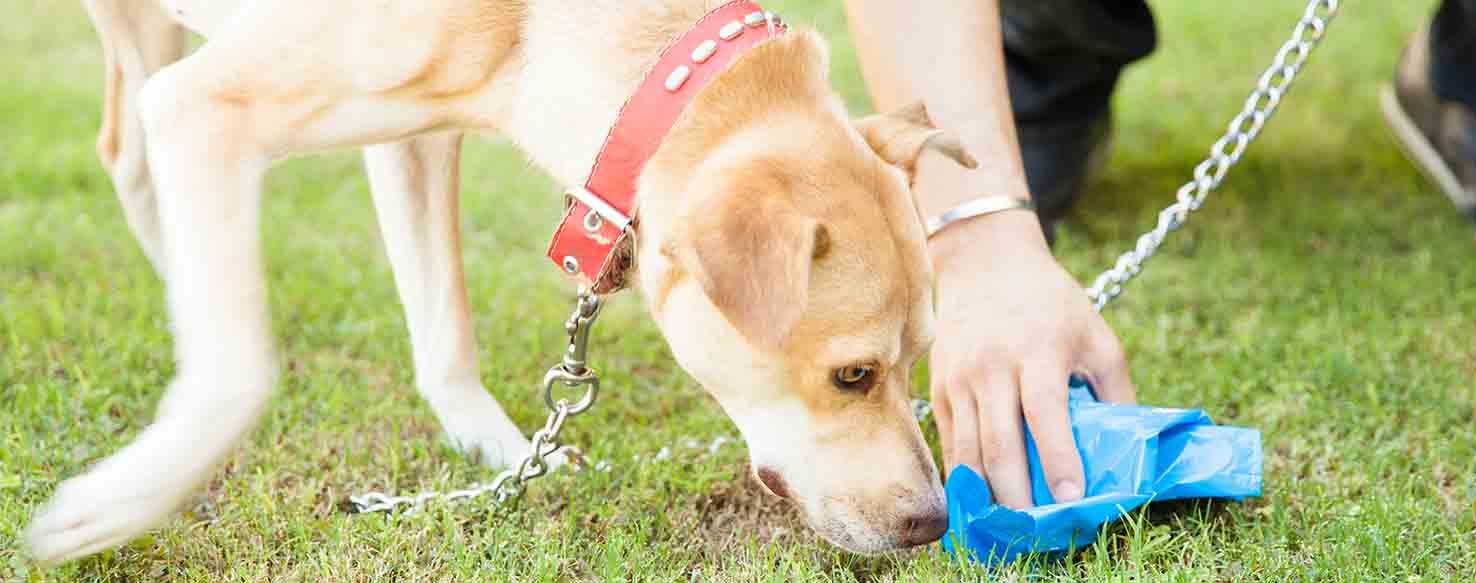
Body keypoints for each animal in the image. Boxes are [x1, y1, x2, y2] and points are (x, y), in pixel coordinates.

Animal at [23, 1, 980, 566]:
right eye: (852, 374)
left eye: (920, 358)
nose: (931, 522)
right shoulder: (208, 104)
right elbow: (241, 372)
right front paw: (123, 499)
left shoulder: (414, 135)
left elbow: (444, 323)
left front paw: (500, 451)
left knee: (127, 150)